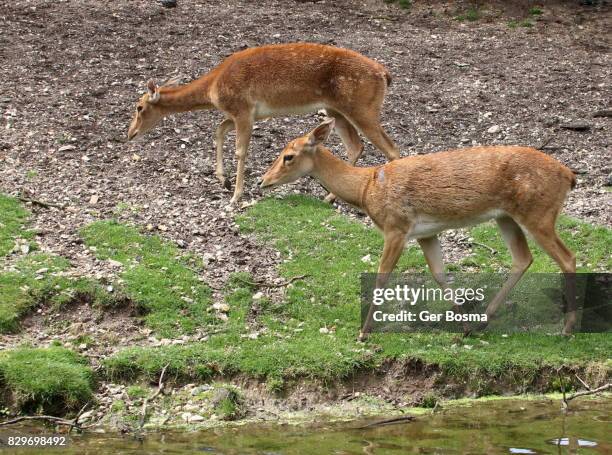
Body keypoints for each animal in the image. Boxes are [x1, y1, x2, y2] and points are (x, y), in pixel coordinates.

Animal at [126, 43, 400, 205]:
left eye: (139, 107)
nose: (130, 133)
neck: (213, 88)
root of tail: (385, 75)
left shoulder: (243, 109)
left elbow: (240, 150)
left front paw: (235, 196)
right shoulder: (244, 114)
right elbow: (218, 129)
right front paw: (222, 179)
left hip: (363, 107)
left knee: (391, 148)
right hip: (337, 110)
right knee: (355, 146)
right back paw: (328, 197)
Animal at [260, 119, 580, 340]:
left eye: (288, 156)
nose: (263, 181)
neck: (366, 188)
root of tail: (569, 176)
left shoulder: (396, 227)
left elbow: (381, 277)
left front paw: (363, 333)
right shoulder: (426, 233)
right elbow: (440, 274)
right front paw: (463, 325)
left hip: (538, 212)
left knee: (567, 257)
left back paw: (566, 328)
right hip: (506, 216)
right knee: (523, 258)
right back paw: (483, 320)